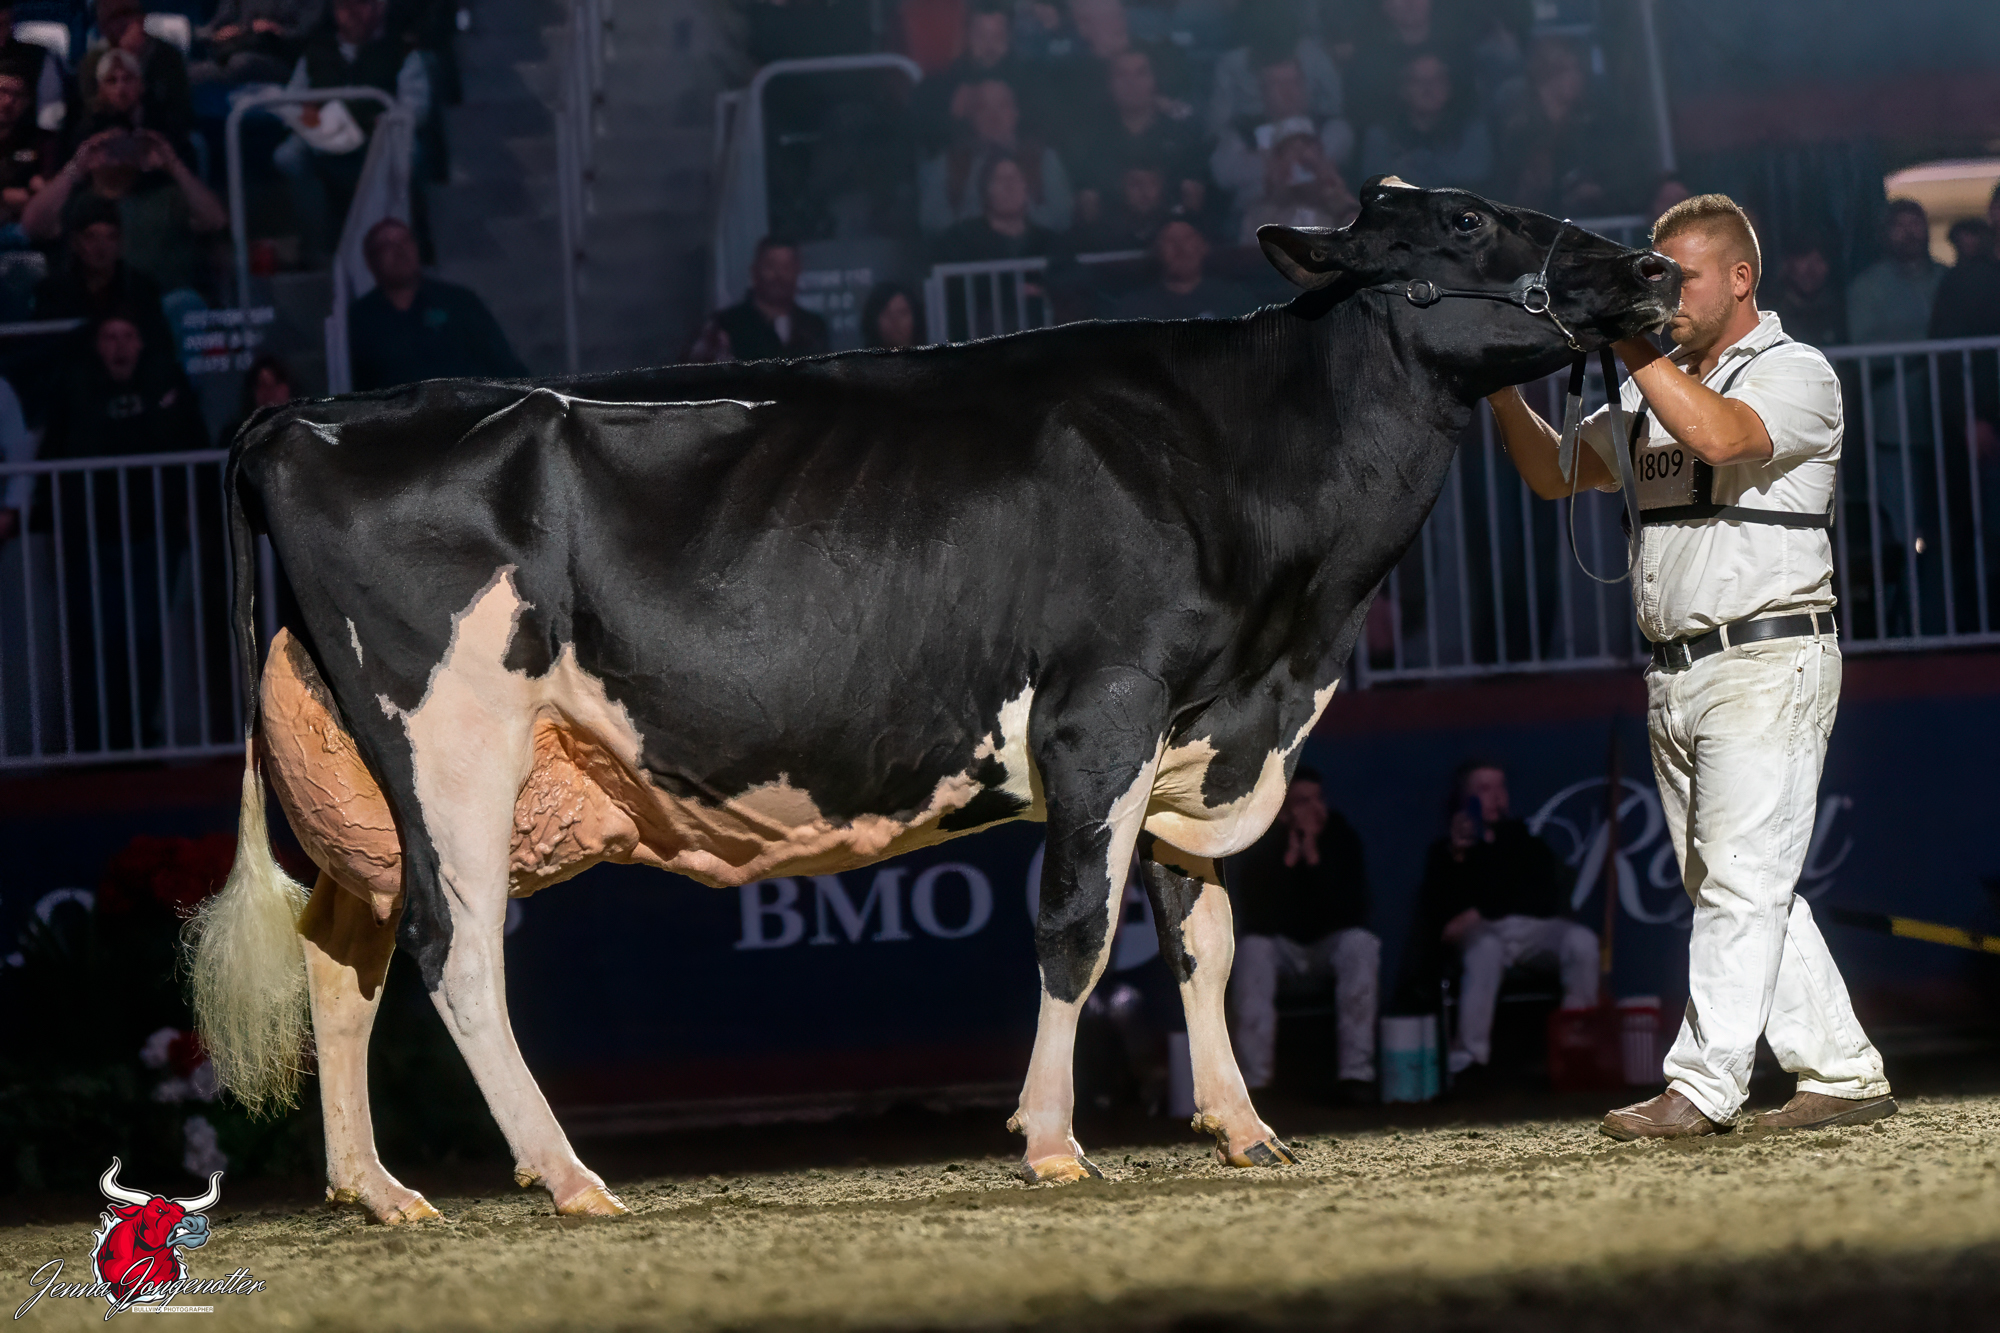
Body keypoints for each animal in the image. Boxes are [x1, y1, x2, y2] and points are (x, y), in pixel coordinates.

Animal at [186, 180, 1677, 1223]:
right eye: (1469, 219)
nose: (1654, 270)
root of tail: (304, 417)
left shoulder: (1200, 733)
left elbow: (1202, 938)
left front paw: (1245, 1126)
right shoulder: (1101, 707)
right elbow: (1076, 930)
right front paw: (1053, 1142)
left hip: (368, 781)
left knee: (342, 953)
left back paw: (379, 1189)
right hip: (453, 744)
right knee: (455, 952)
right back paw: (564, 1176)